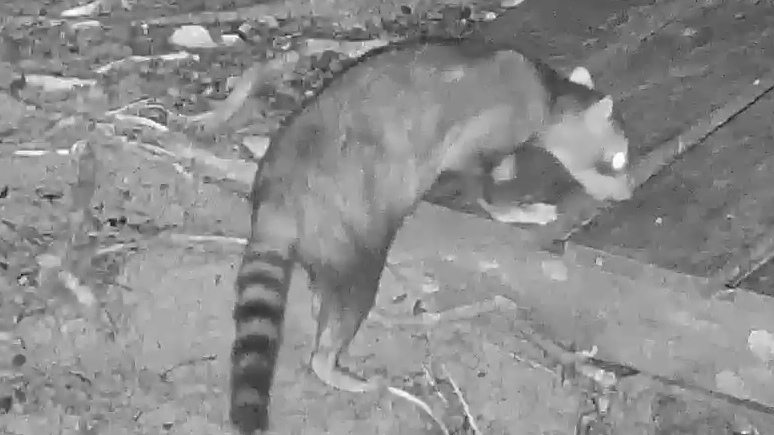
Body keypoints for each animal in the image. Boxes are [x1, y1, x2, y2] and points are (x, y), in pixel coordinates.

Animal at [230, 38, 631, 434]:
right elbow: (482, 186)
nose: (627, 194)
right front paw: (513, 206)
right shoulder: (490, 126)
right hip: (348, 234)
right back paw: (330, 364)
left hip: (327, 242)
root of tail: (277, 195)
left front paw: (507, 169)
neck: (552, 93)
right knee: (347, 306)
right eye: (618, 159)